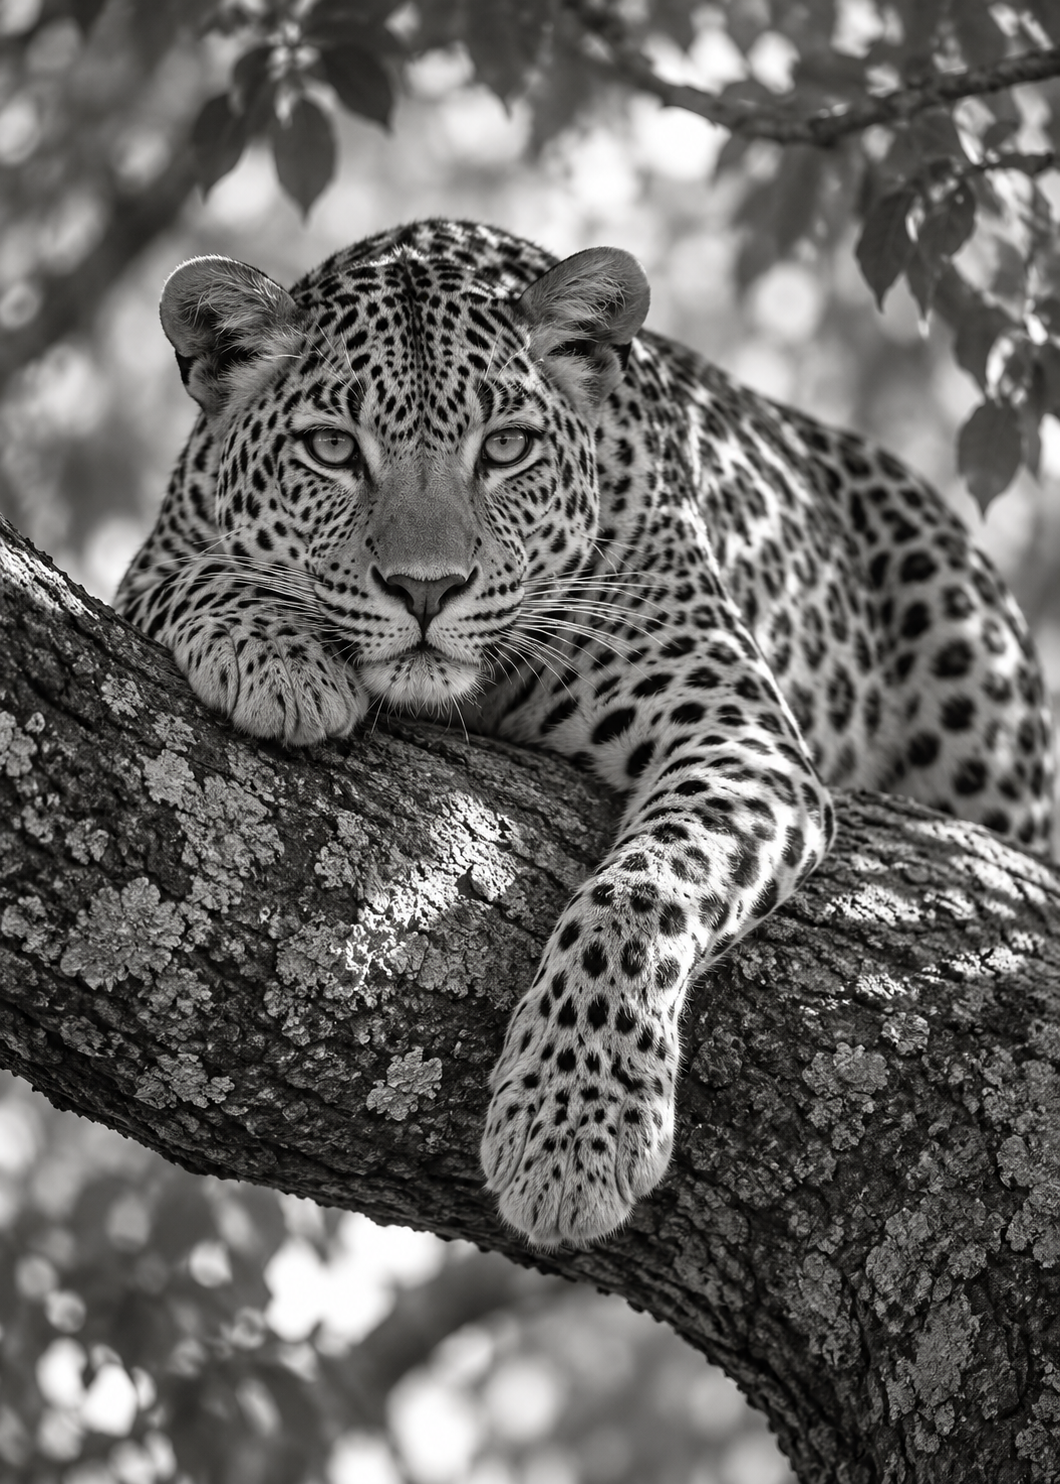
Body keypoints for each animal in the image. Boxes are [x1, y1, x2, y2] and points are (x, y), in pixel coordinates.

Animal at [117, 218, 1055, 1250]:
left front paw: (572, 1131)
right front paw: (276, 652)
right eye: (331, 448)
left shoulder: (739, 732)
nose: (425, 590)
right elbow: (191, 576)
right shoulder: (152, 562)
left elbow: (641, 893)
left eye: (507, 447)